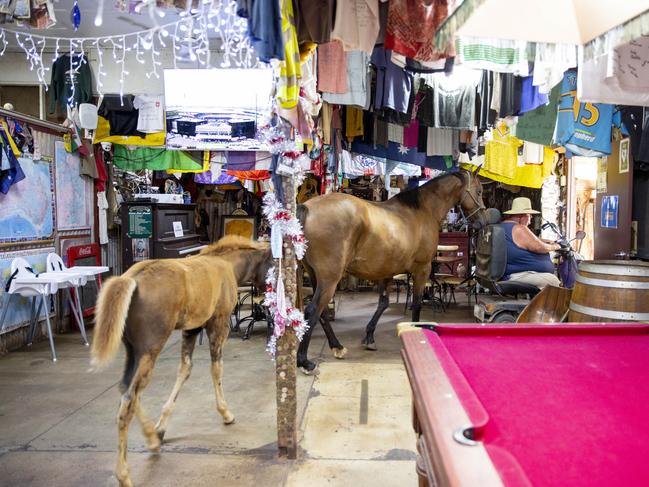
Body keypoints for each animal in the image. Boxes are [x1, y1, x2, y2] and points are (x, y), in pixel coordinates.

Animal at [90, 235, 270, 484]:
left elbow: (185, 369)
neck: (227, 265)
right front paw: (226, 413)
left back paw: (152, 437)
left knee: (126, 390)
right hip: (150, 350)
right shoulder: (219, 324)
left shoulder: (191, 329)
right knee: (129, 400)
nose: (269, 296)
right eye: (272, 263)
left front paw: (160, 429)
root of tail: (131, 279)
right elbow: (216, 369)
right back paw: (124, 474)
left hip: (133, 351)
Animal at [296, 170, 484, 372]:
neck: (423, 210)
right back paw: (304, 361)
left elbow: (383, 303)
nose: (482, 221)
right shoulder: (422, 269)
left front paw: (369, 337)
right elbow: (417, 303)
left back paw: (337, 347)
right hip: (330, 279)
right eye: (480, 191)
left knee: (321, 312)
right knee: (312, 310)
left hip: (315, 276)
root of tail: (308, 207)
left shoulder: (387, 272)